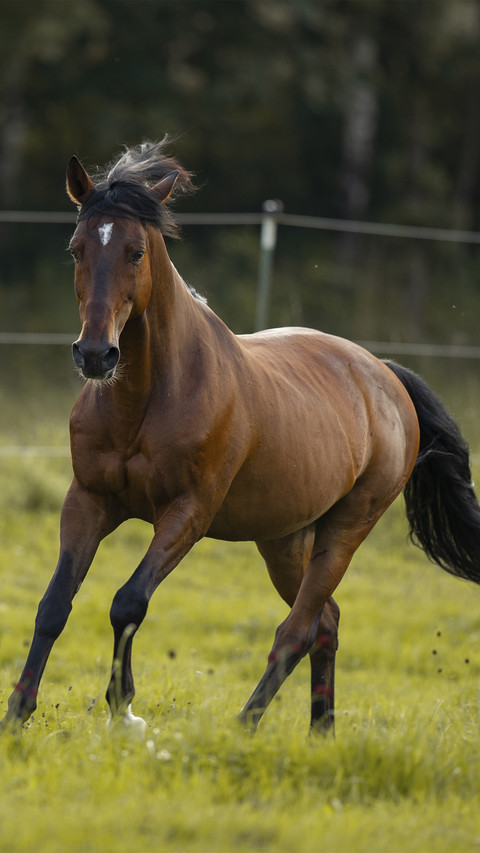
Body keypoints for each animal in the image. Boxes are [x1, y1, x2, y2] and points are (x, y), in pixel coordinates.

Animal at [3, 139, 480, 735]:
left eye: (136, 251)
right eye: (75, 250)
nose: (95, 355)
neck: (146, 398)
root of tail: (386, 377)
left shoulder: (188, 512)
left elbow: (128, 602)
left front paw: (124, 711)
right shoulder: (88, 501)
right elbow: (54, 604)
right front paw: (17, 713)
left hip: (346, 530)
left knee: (297, 629)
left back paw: (245, 727)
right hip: (284, 538)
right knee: (326, 621)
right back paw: (319, 732)